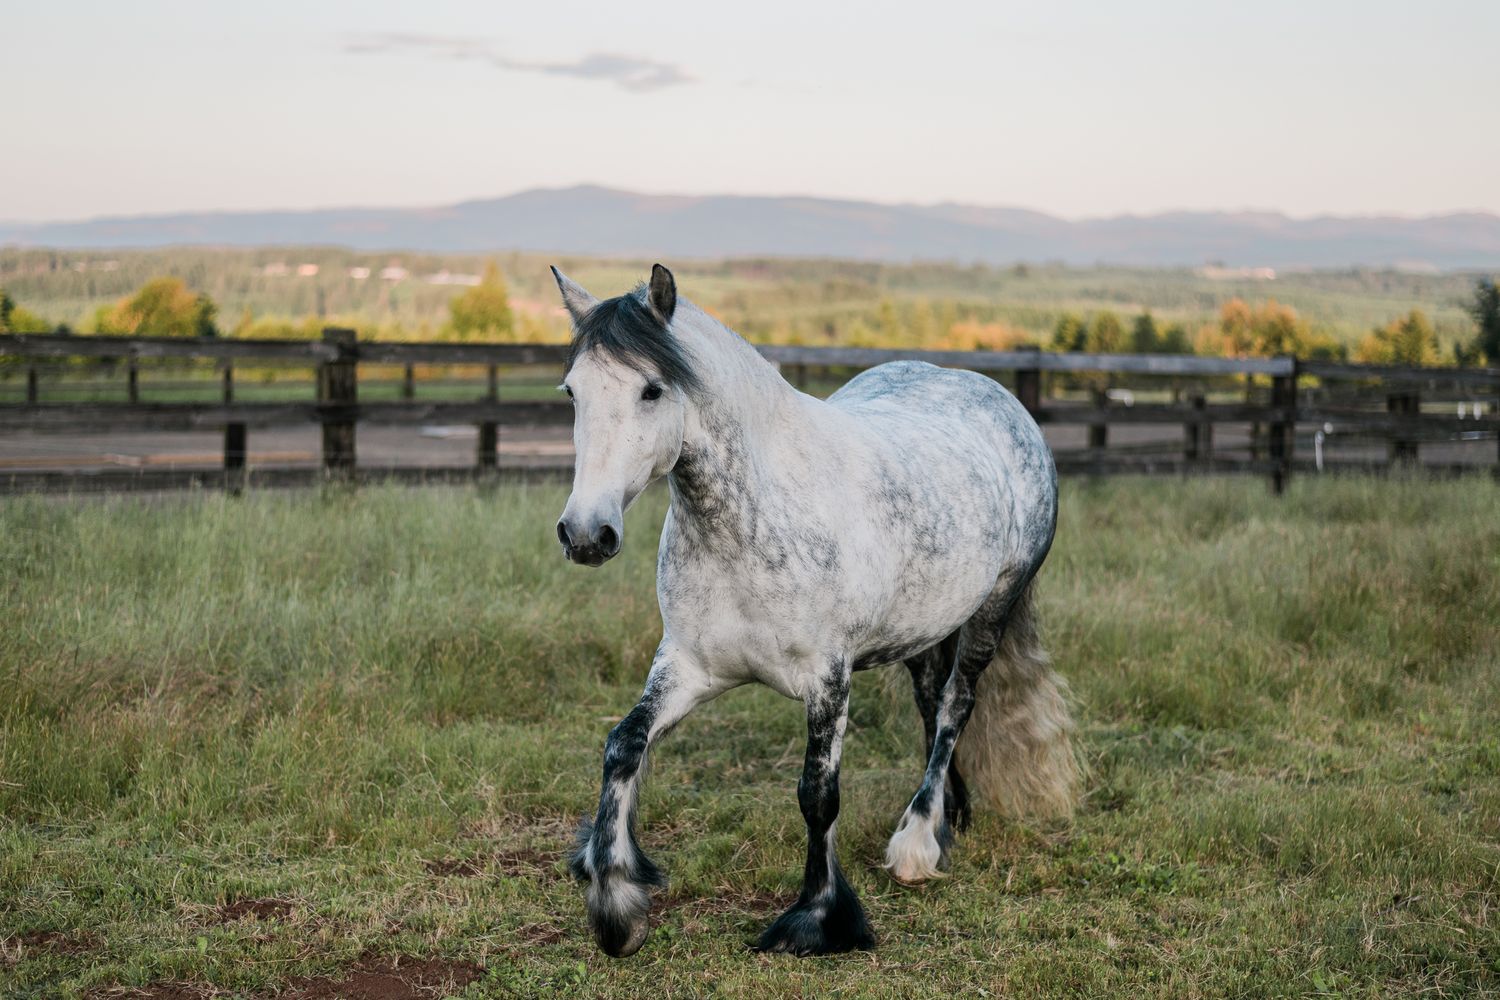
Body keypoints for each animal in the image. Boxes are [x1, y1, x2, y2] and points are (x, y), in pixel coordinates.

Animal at [552, 264, 1078, 958]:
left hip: (992, 610)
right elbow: (623, 745)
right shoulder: (690, 665)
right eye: (572, 392)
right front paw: (616, 906)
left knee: (955, 707)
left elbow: (817, 795)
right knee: (931, 701)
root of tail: (997, 398)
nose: (586, 534)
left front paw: (817, 918)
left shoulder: (829, 678)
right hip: (920, 631)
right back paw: (949, 816)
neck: (755, 520)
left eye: (651, 390)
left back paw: (917, 842)